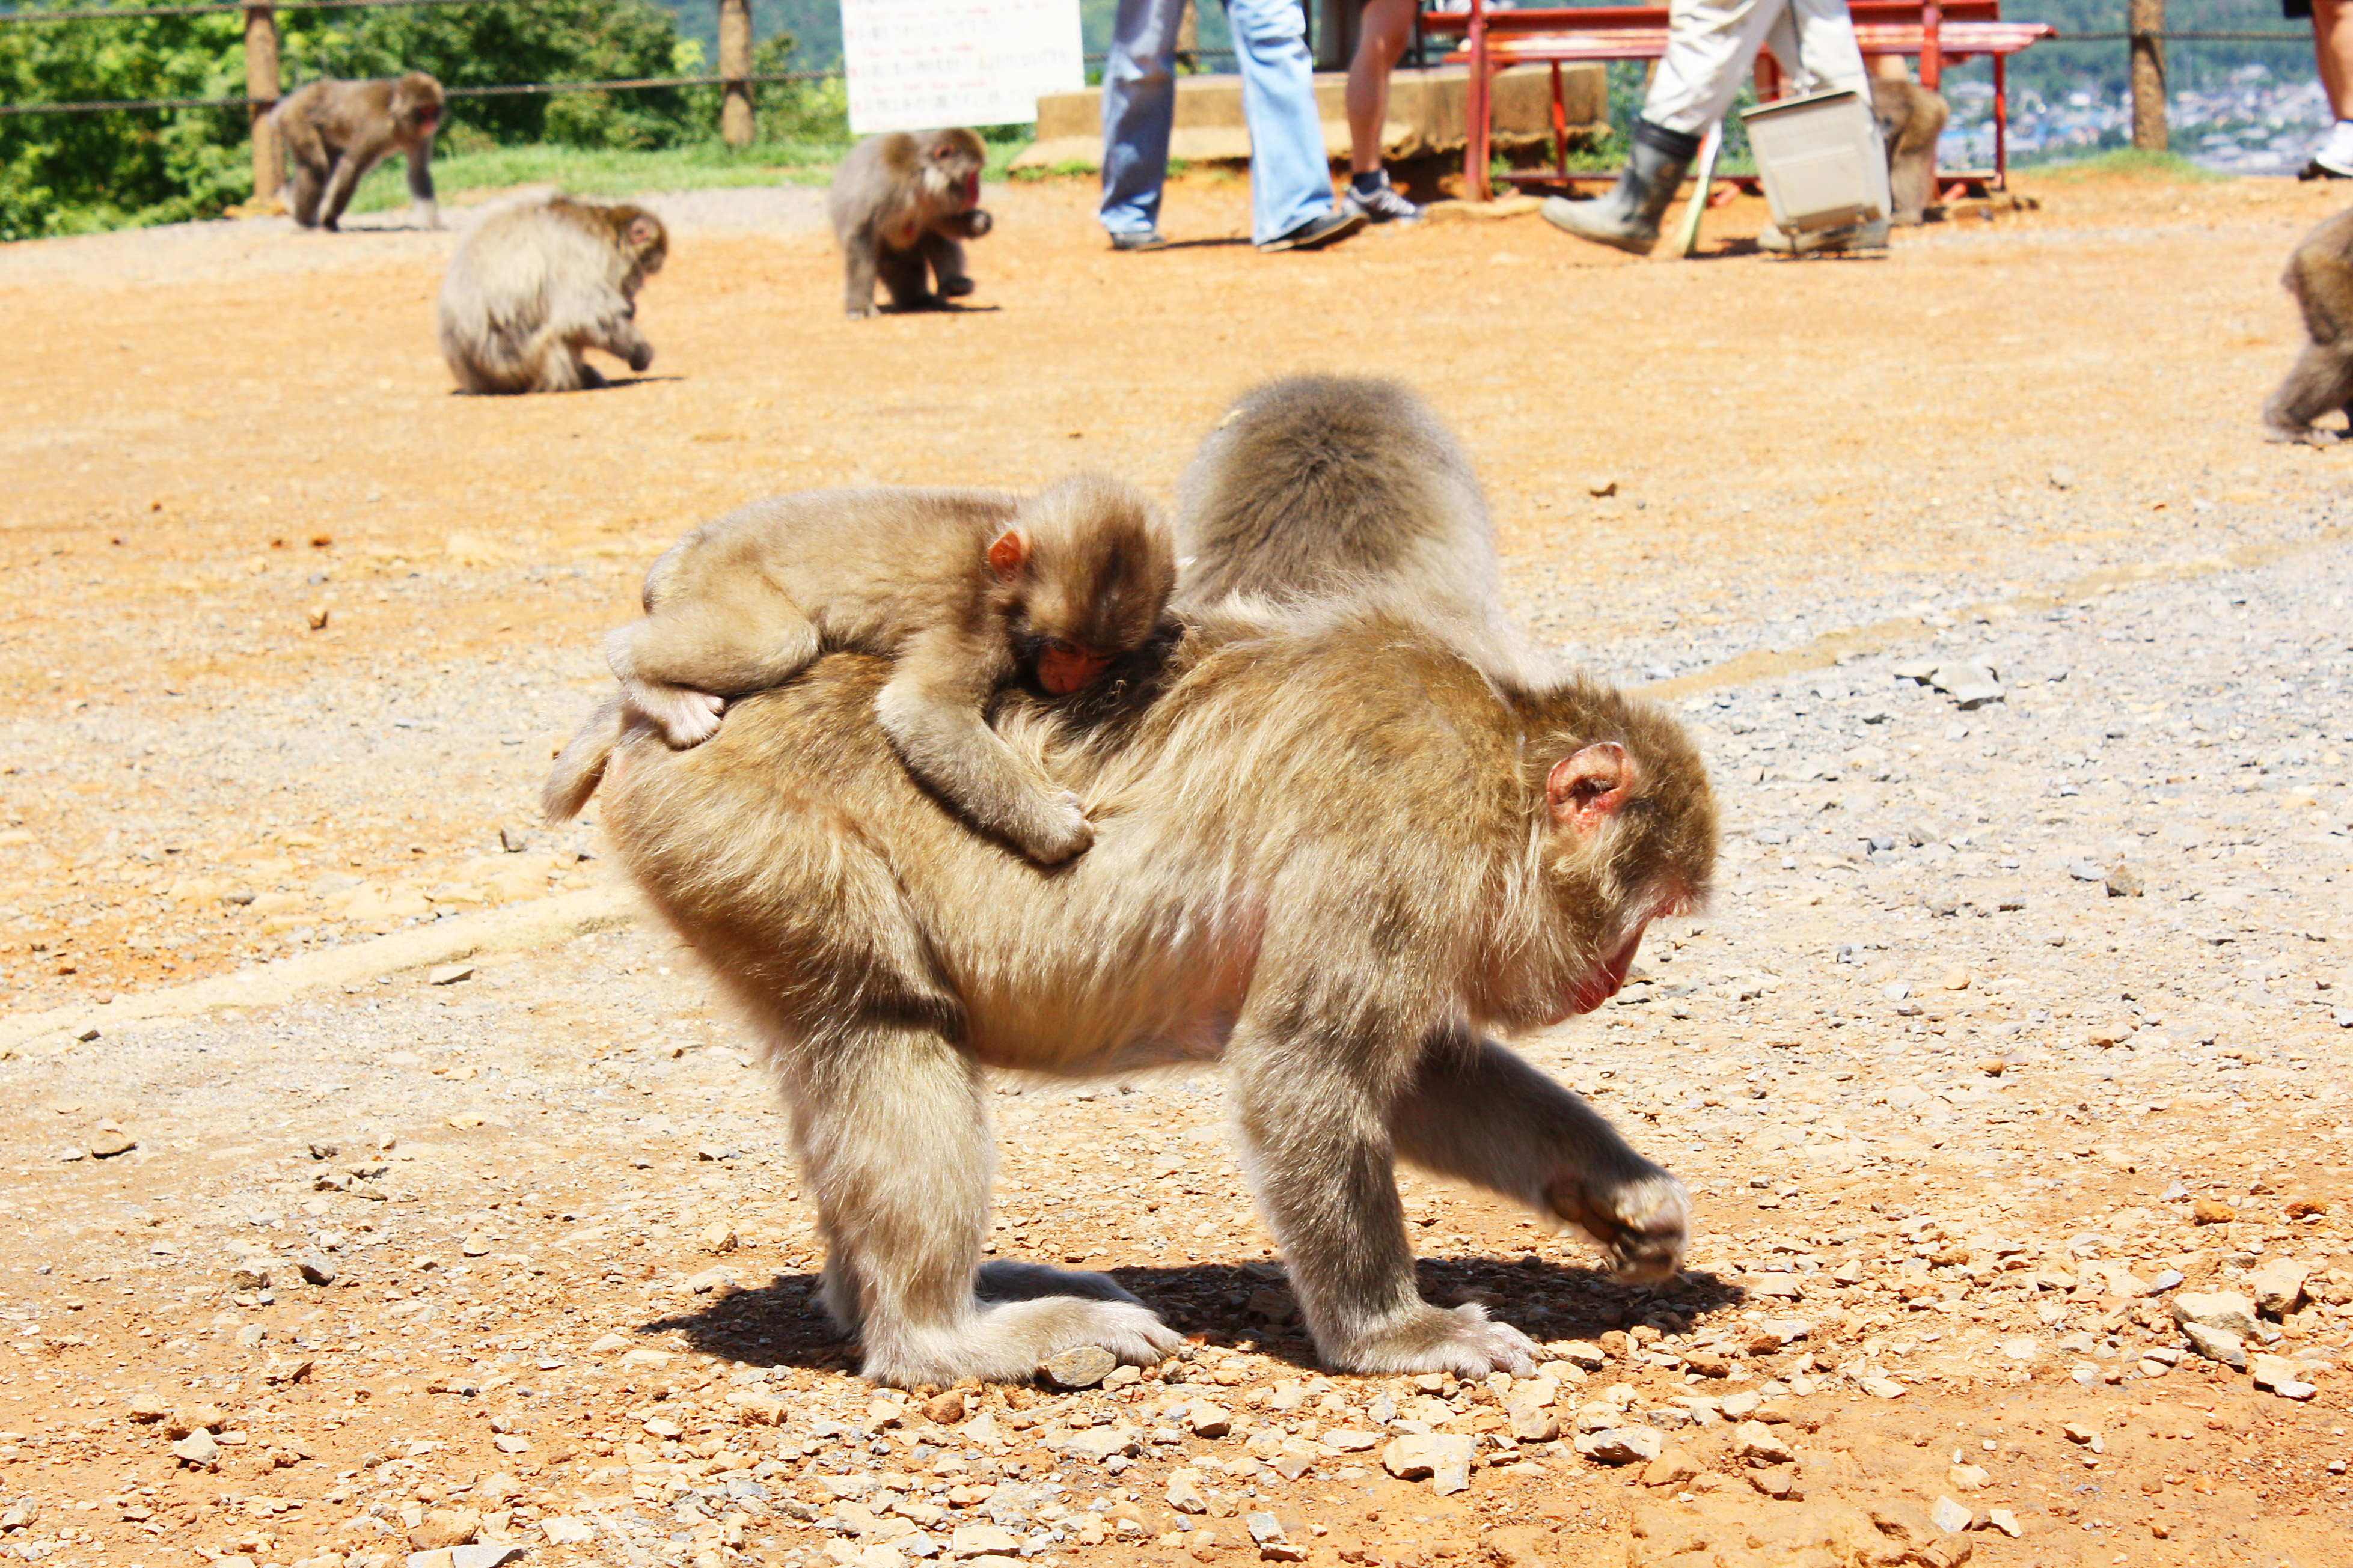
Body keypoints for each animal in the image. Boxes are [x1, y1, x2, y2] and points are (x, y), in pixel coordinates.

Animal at [271, 72, 444, 231]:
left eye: (433, 110)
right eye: (425, 111)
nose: (432, 123)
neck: (398, 121)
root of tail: (291, 100)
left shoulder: (420, 138)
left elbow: (418, 172)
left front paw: (435, 225)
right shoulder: (376, 128)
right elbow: (351, 166)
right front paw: (328, 219)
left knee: (326, 166)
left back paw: (289, 199)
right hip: (296, 119)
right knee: (317, 166)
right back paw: (304, 220)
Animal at [435, 194, 668, 399]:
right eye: (640, 273)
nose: (636, 288)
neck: (601, 226)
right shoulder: (582, 251)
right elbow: (585, 316)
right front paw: (639, 351)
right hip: (517, 361)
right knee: (558, 333)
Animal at [550, 479, 1176, 870]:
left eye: (1102, 656)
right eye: (1066, 646)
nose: (1071, 679)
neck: (1002, 574)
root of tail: (679, 554)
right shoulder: (975, 625)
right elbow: (920, 710)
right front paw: (1054, 827)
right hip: (719, 578)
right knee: (774, 640)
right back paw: (651, 681)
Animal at [828, 129, 993, 319]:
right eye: (973, 174)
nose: (977, 193)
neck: (920, 177)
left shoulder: (938, 199)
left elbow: (942, 223)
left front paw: (977, 222)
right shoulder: (880, 186)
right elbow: (860, 235)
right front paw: (860, 307)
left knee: (932, 238)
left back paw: (947, 287)